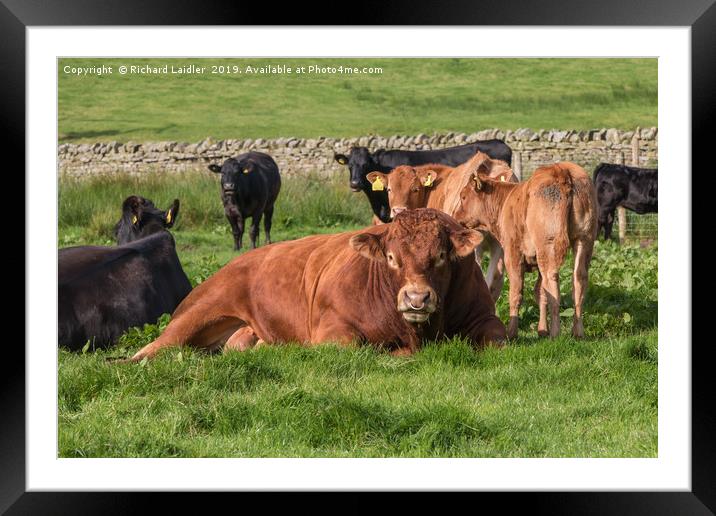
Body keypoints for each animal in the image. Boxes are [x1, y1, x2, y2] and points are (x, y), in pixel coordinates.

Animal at [127, 208, 510, 360]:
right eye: (391, 258)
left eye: (442, 256)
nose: (417, 298)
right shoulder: (332, 329)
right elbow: (355, 345)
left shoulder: (484, 316)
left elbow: (496, 341)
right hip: (197, 314)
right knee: (150, 351)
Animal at [454, 161, 600, 338]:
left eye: (463, 197)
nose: (455, 216)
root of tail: (561, 169)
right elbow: (541, 293)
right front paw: (542, 330)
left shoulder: (512, 253)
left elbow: (516, 292)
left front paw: (511, 332)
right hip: (584, 239)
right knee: (579, 281)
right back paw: (577, 332)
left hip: (548, 245)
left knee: (552, 281)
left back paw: (555, 333)